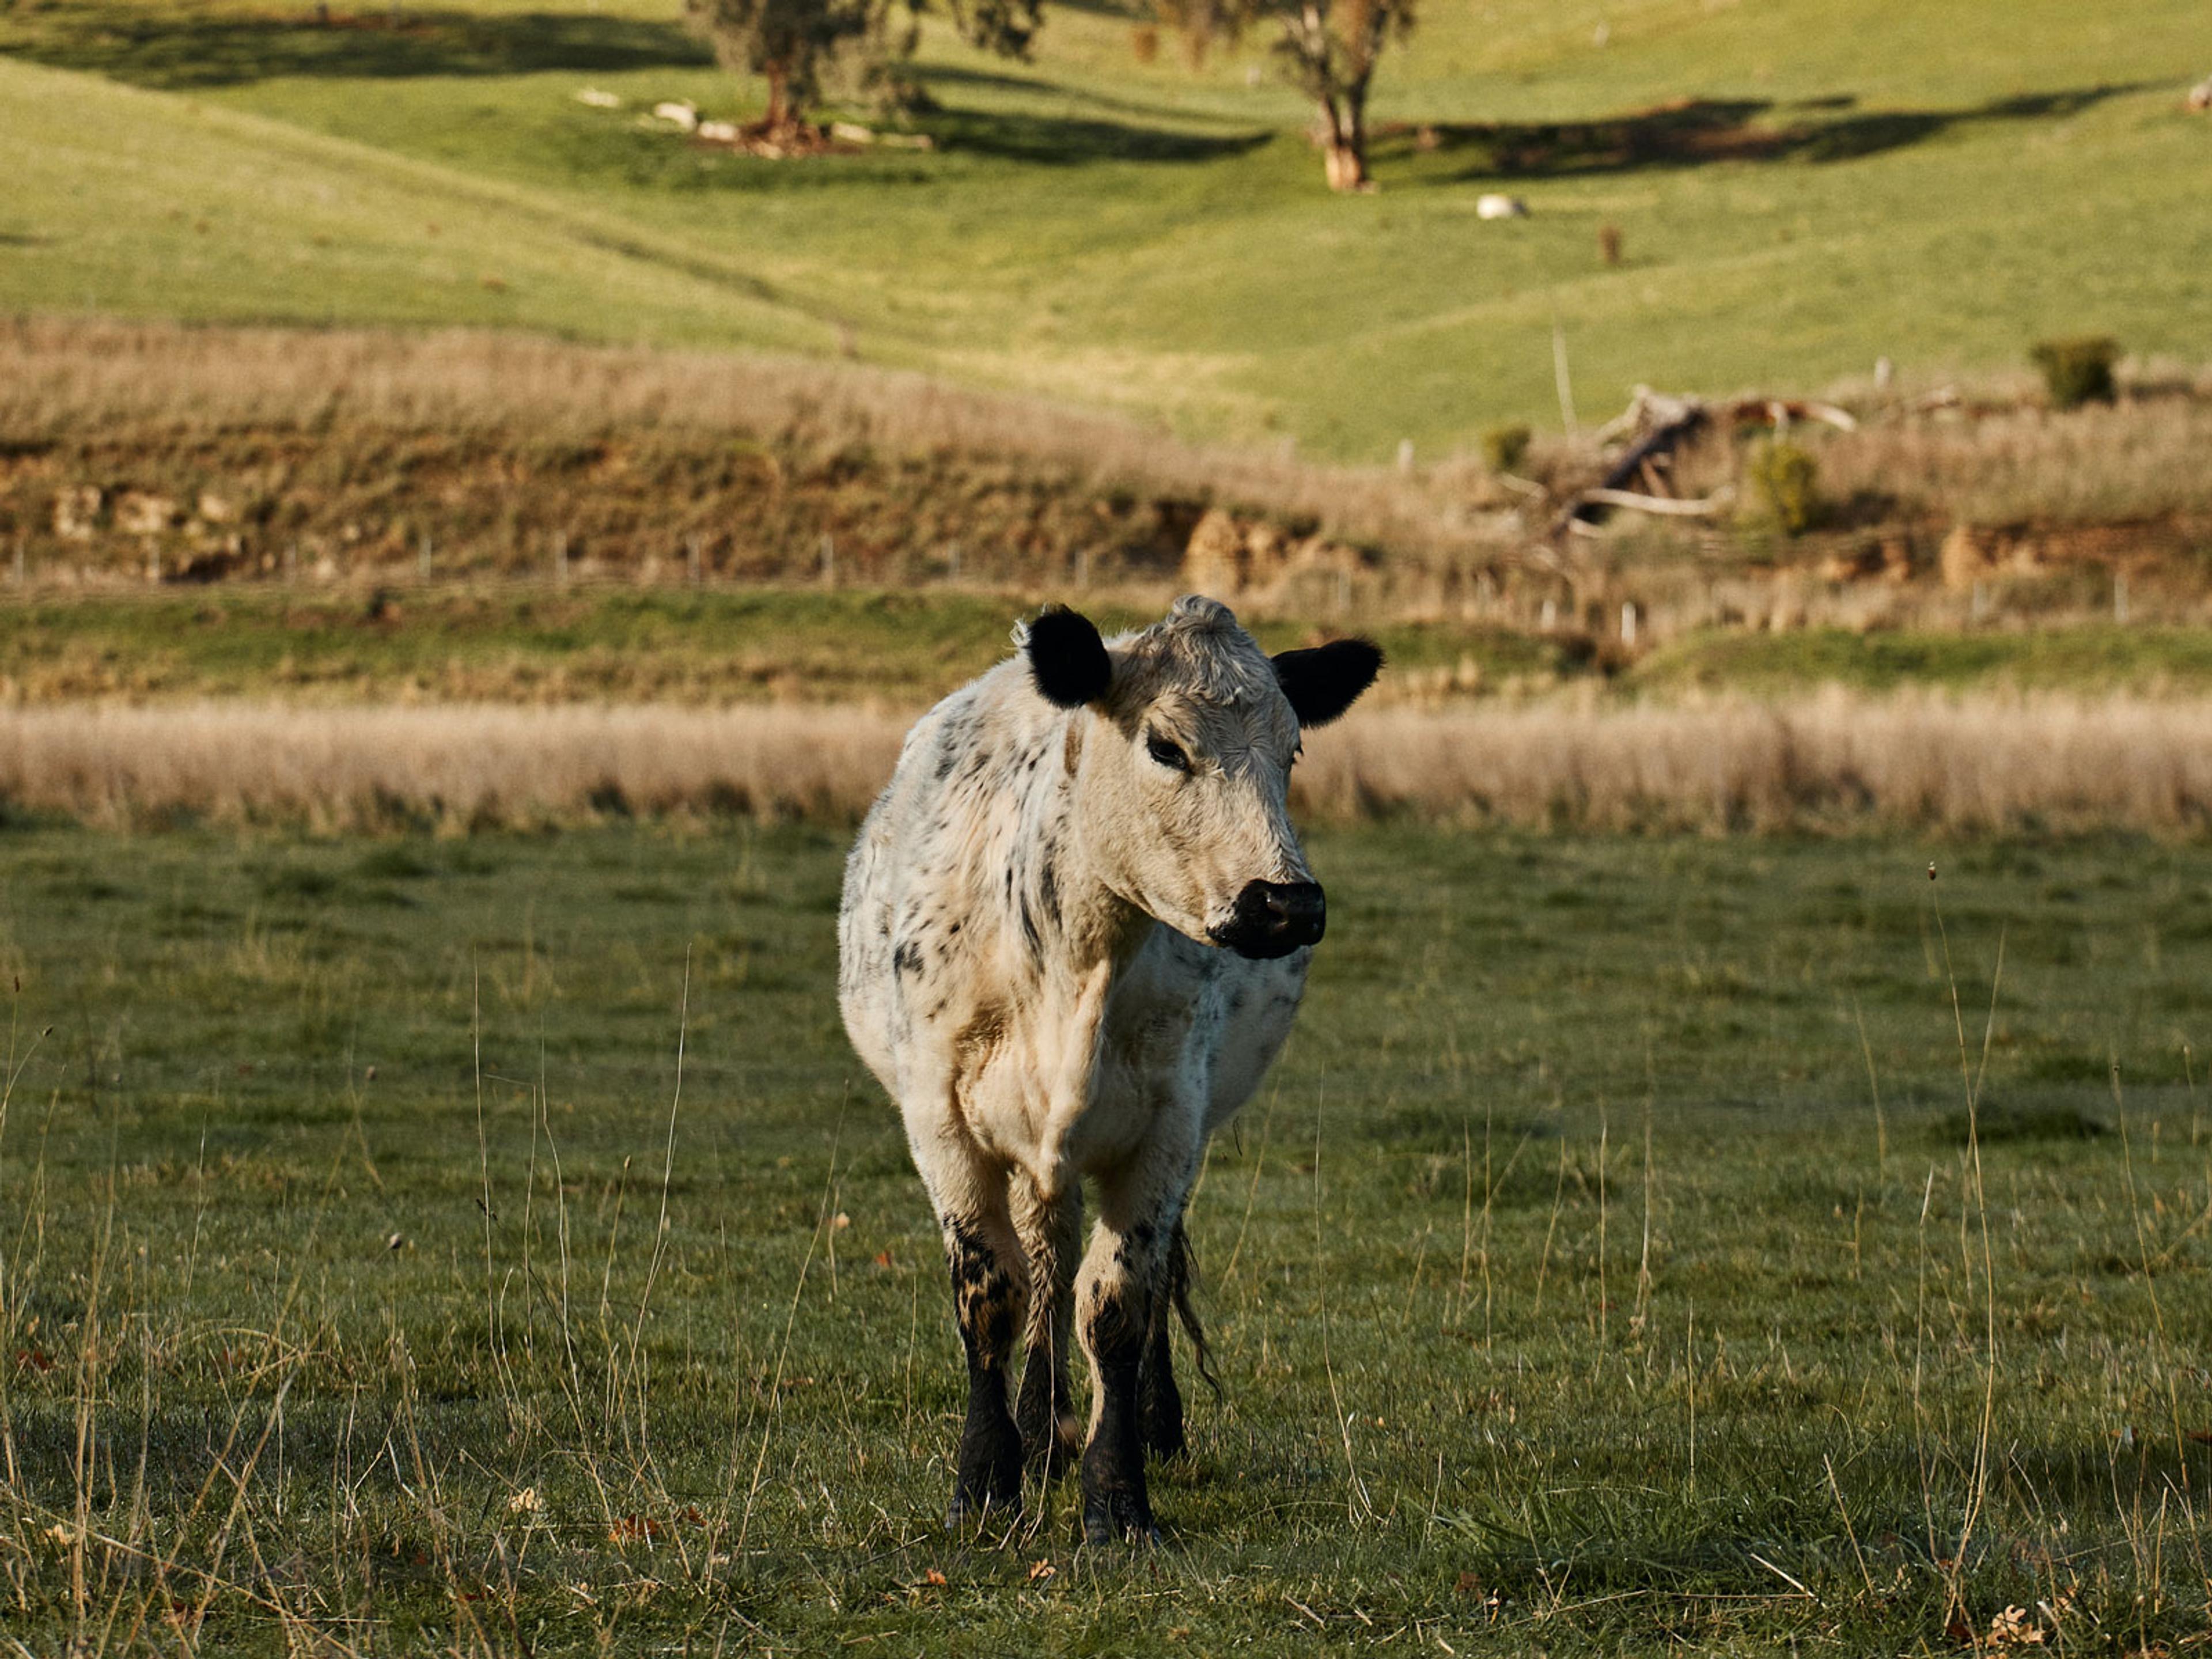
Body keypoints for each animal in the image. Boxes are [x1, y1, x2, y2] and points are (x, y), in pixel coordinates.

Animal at [838, 596, 1380, 1542]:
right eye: (1165, 746)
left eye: (1292, 751)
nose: (1287, 905)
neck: (1075, 960)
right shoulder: (942, 1125)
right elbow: (992, 1295)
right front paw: (987, 1484)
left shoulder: (1169, 1127)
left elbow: (1120, 1304)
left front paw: (1118, 1497)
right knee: (1044, 1264)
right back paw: (1038, 1430)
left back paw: (1143, 1429)